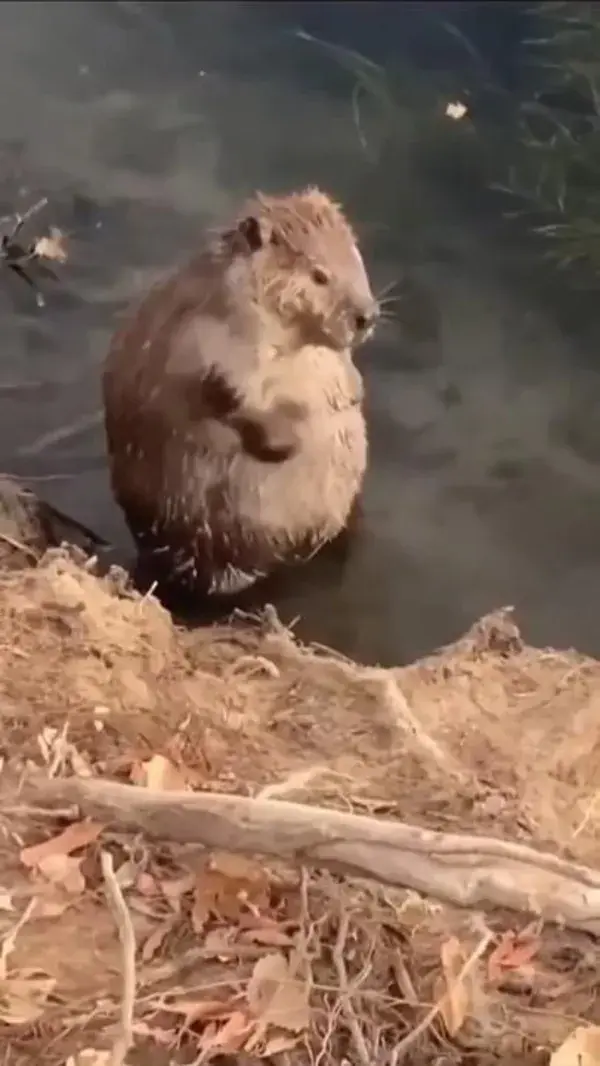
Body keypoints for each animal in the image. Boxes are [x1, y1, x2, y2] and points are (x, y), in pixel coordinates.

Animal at [100, 184, 377, 601]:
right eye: (319, 275)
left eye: (355, 258)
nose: (366, 316)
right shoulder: (199, 339)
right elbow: (224, 396)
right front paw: (285, 441)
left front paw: (351, 390)